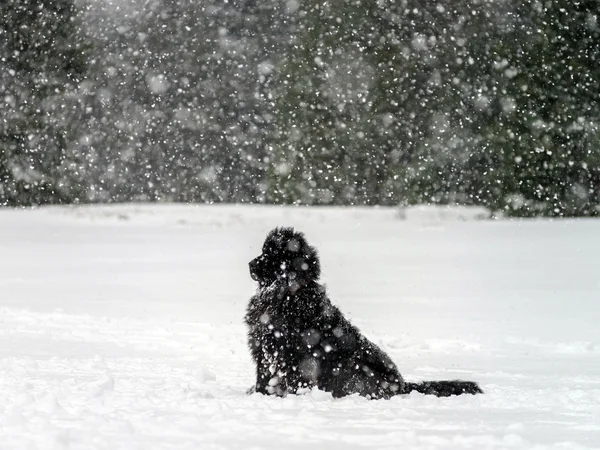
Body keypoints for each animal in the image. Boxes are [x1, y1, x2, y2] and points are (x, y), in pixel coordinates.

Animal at [244, 227, 482, 400]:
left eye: (272, 255)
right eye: (264, 251)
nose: (250, 264)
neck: (287, 294)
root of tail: (403, 385)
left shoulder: (293, 354)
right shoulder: (264, 350)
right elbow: (264, 378)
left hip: (356, 370)